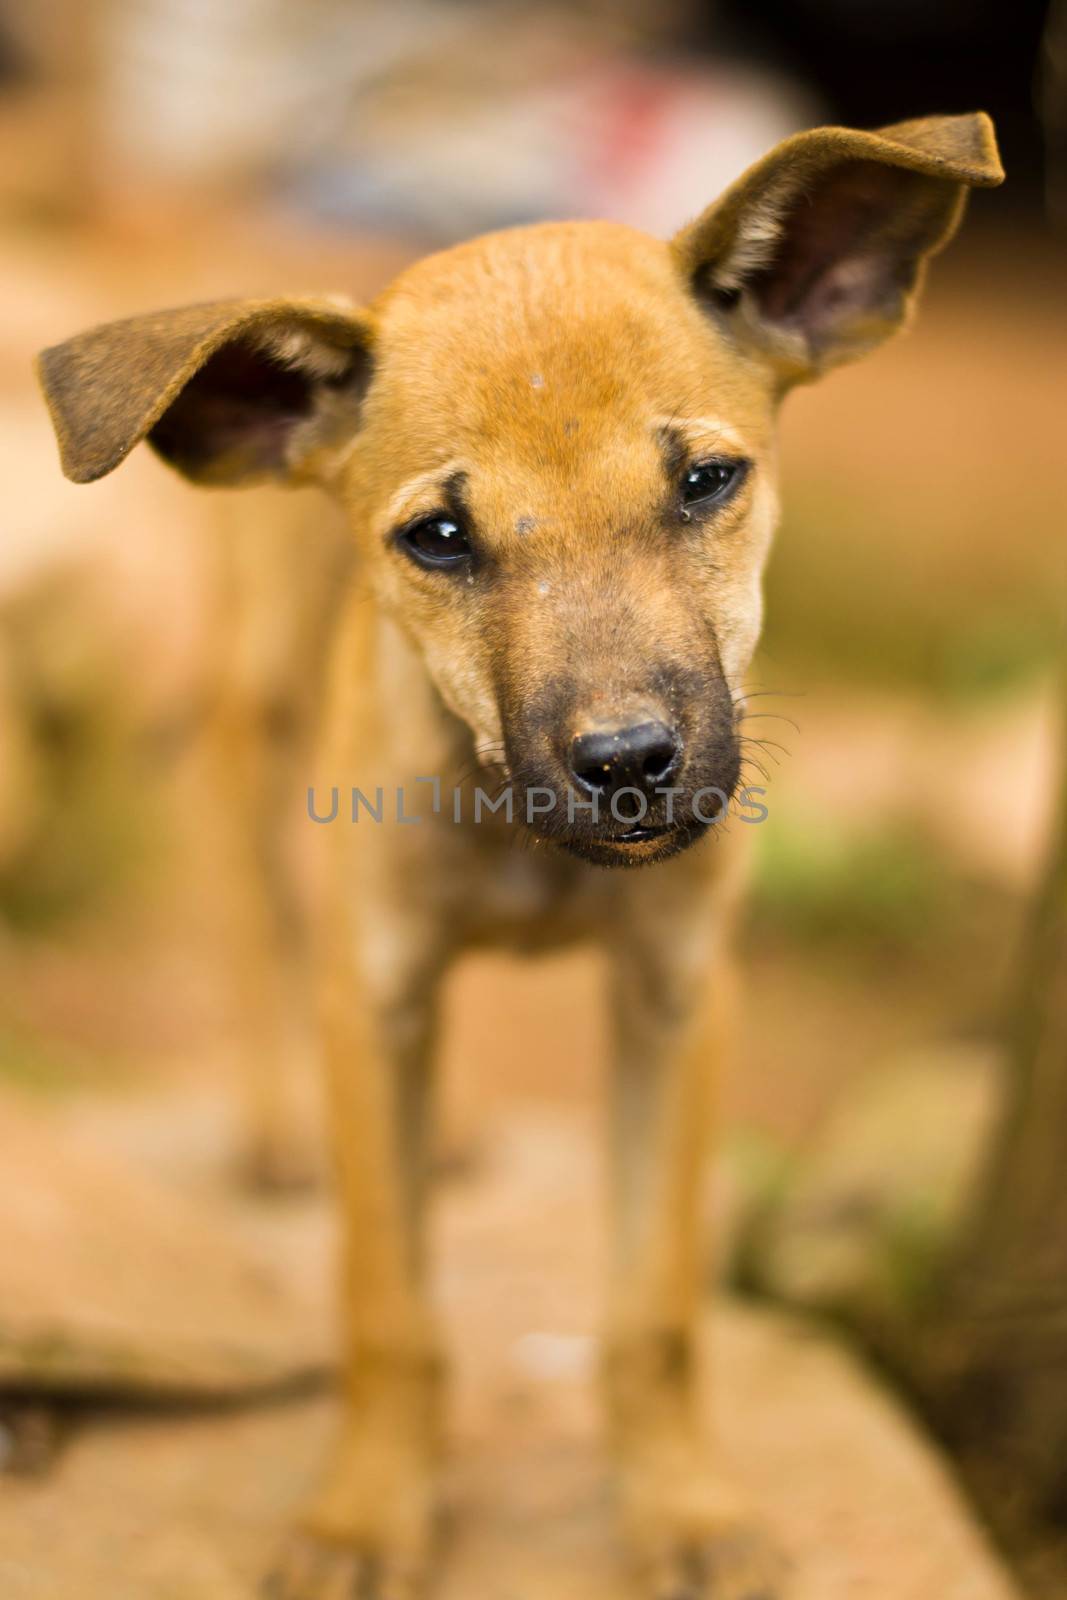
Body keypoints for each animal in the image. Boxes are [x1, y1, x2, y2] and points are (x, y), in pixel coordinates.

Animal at [35, 116, 1004, 1600]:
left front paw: (681, 1509)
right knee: (257, 913)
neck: (524, 838)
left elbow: (655, 1309)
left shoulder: (676, 998)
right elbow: (387, 1308)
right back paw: (275, 1123)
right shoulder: (375, 998)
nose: (627, 763)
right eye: (438, 536)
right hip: (254, 718)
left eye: (703, 481)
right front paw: (366, 1515)